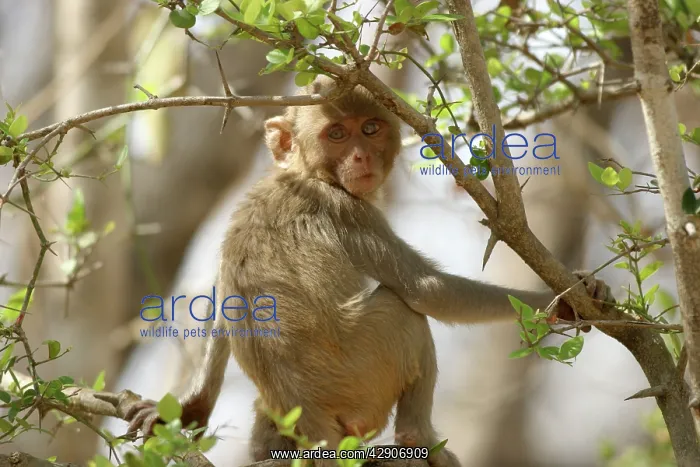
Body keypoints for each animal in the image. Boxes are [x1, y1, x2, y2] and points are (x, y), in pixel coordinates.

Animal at [124, 75, 615, 467]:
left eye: (370, 128)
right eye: (337, 134)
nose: (361, 157)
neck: (304, 173)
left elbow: (221, 300)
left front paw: (191, 407)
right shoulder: (348, 211)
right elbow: (426, 291)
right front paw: (565, 300)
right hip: (361, 378)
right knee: (403, 313)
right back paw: (419, 440)